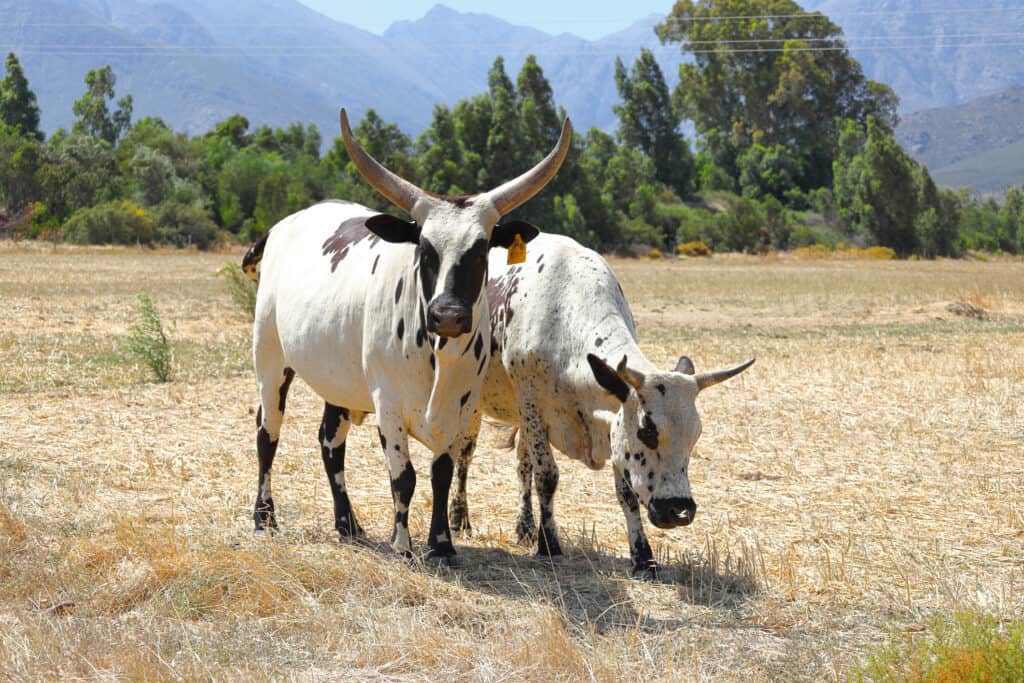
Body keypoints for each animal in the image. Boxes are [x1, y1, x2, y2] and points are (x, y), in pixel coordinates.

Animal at [243, 108, 572, 565]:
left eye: (482, 248)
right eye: (425, 248)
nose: (447, 314)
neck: (438, 355)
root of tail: (282, 226)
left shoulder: (459, 407)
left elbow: (441, 474)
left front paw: (442, 545)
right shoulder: (389, 404)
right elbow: (404, 477)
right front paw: (403, 545)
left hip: (339, 380)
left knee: (329, 442)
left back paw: (348, 524)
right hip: (271, 361)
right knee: (267, 434)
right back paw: (264, 517)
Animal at [447, 234, 754, 576]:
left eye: (695, 436)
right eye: (648, 431)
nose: (679, 510)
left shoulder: (614, 425)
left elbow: (626, 494)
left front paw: (643, 557)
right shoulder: (532, 407)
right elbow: (547, 477)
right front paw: (549, 544)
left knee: (522, 464)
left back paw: (524, 527)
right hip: (475, 405)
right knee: (466, 454)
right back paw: (460, 518)